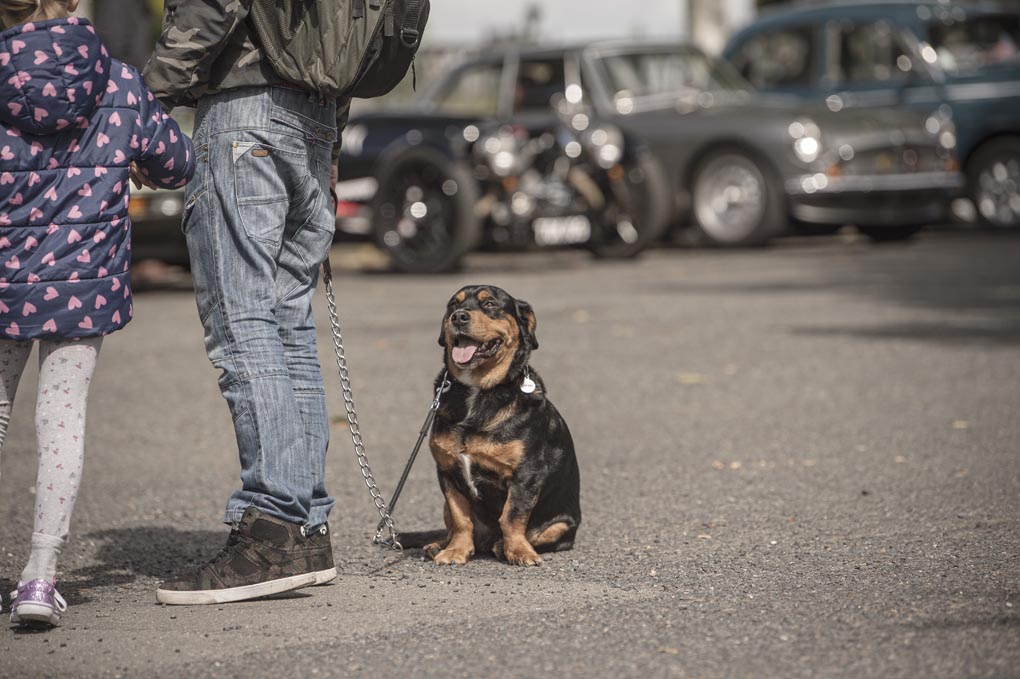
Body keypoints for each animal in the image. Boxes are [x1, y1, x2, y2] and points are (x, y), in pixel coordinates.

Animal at [424, 283, 583, 562]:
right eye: (454, 304)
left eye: (490, 304)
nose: (459, 317)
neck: (478, 391)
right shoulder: (447, 471)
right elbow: (460, 518)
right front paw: (455, 550)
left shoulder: (526, 473)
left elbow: (512, 516)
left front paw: (518, 551)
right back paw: (440, 545)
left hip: (563, 525)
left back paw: (501, 546)